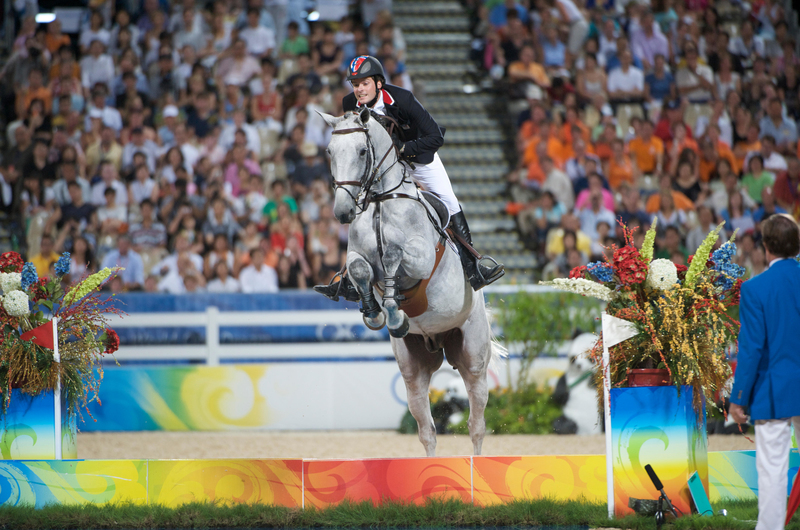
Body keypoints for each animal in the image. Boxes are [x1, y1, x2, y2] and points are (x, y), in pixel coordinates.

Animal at [320, 108, 504, 454]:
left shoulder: (421, 257)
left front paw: (390, 308)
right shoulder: (357, 258)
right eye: (329, 152)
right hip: (413, 367)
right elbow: (362, 271)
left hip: (473, 360)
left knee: (476, 425)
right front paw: (377, 313)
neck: (380, 200)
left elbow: (394, 255)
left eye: (362, 151)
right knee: (427, 430)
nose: (342, 212)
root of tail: (438, 340)